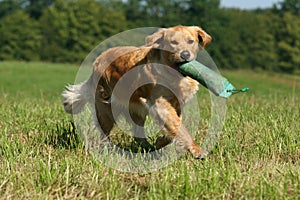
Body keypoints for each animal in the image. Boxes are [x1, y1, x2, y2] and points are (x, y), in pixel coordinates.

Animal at [63, 25, 212, 159]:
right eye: (173, 42)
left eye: (191, 41)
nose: (185, 55)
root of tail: (98, 60)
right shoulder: (160, 104)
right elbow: (180, 127)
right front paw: (197, 151)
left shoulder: (176, 104)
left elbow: (176, 126)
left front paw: (160, 142)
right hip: (106, 111)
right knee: (104, 133)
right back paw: (106, 150)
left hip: (136, 109)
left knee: (137, 133)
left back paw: (148, 148)